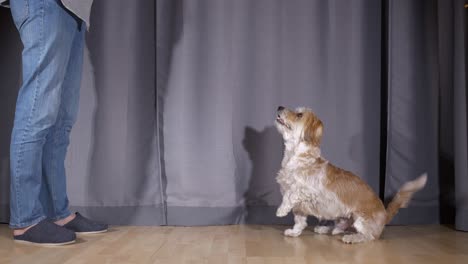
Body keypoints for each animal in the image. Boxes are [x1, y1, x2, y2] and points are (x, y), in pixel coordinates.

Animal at [274, 105, 428, 243]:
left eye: (299, 115)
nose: (279, 107)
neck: (297, 156)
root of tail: (385, 214)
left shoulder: (306, 189)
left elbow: (291, 194)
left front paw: (281, 209)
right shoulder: (299, 207)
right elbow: (299, 221)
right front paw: (294, 232)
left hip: (360, 220)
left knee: (369, 236)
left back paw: (352, 238)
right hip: (342, 217)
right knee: (341, 228)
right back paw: (326, 228)